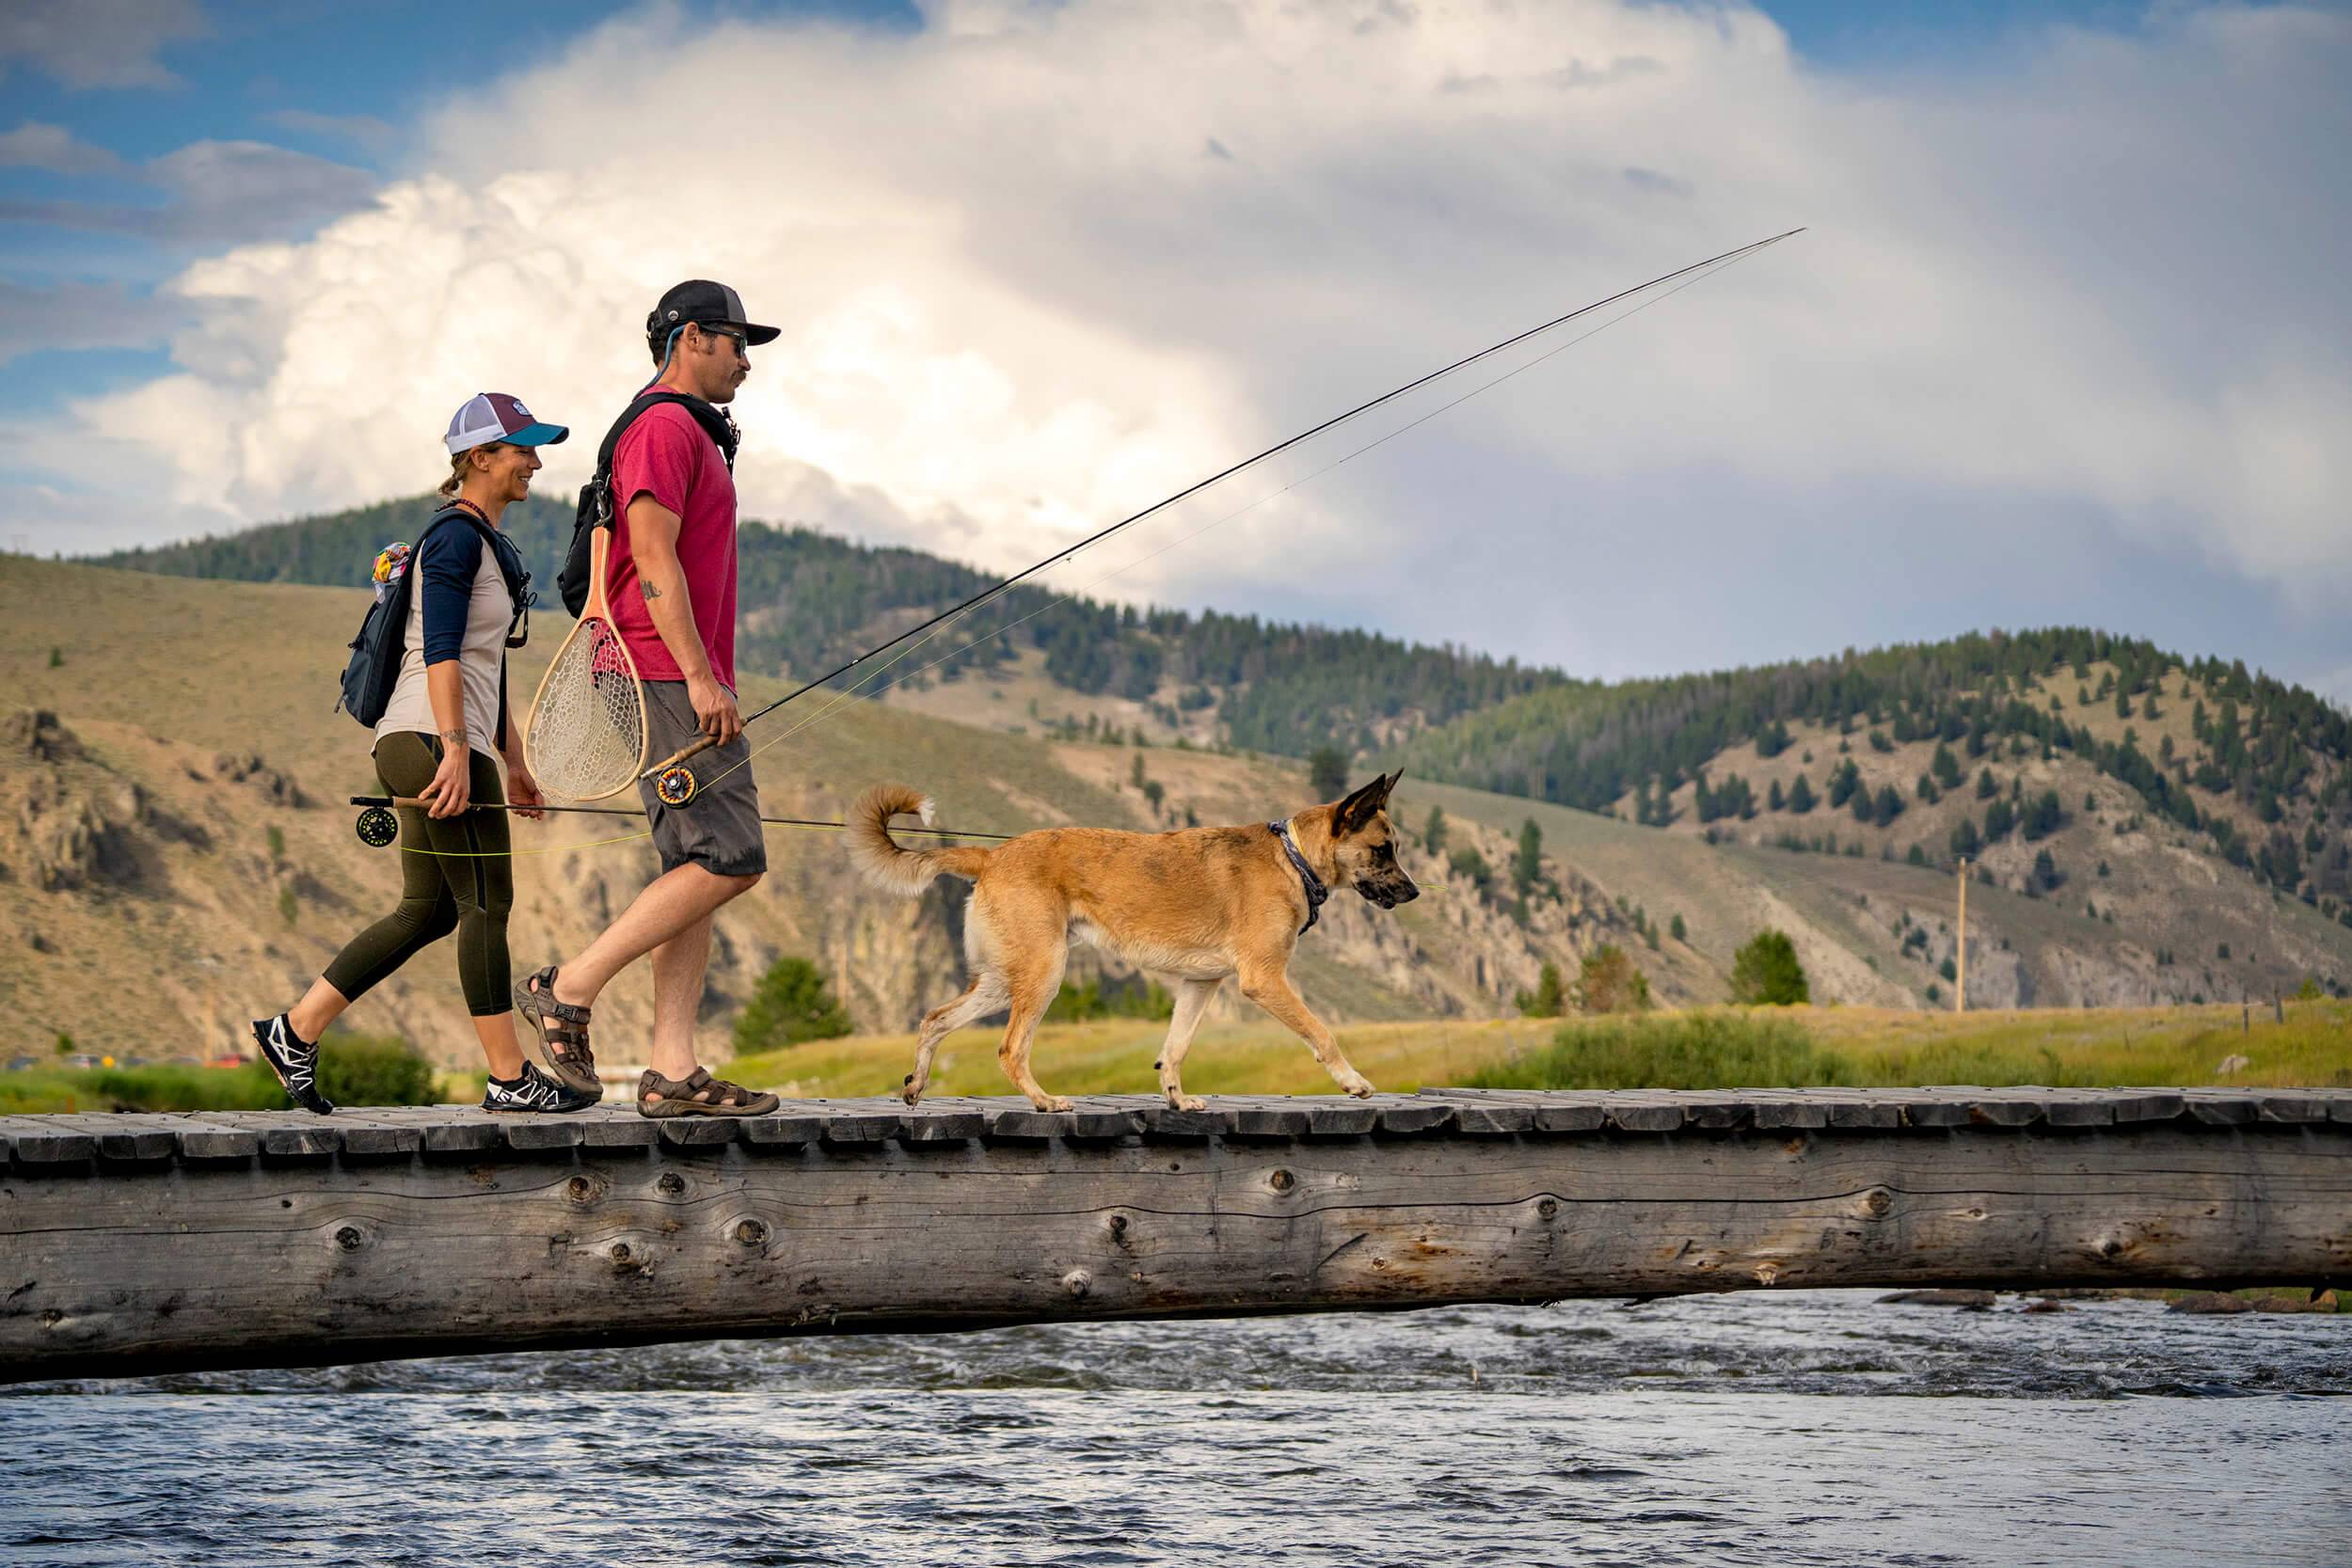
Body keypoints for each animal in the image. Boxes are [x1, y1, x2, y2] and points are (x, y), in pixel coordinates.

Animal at [856, 766, 1421, 1109]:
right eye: (1383, 849)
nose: (1413, 892)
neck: (1293, 856)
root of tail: (992, 855)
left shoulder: (1200, 985)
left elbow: (1175, 1048)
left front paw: (1176, 1098)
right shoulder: (1264, 980)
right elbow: (1322, 1033)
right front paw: (1353, 1081)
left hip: (1002, 978)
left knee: (935, 1020)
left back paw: (916, 1085)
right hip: (1043, 973)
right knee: (1010, 1049)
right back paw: (1044, 1101)